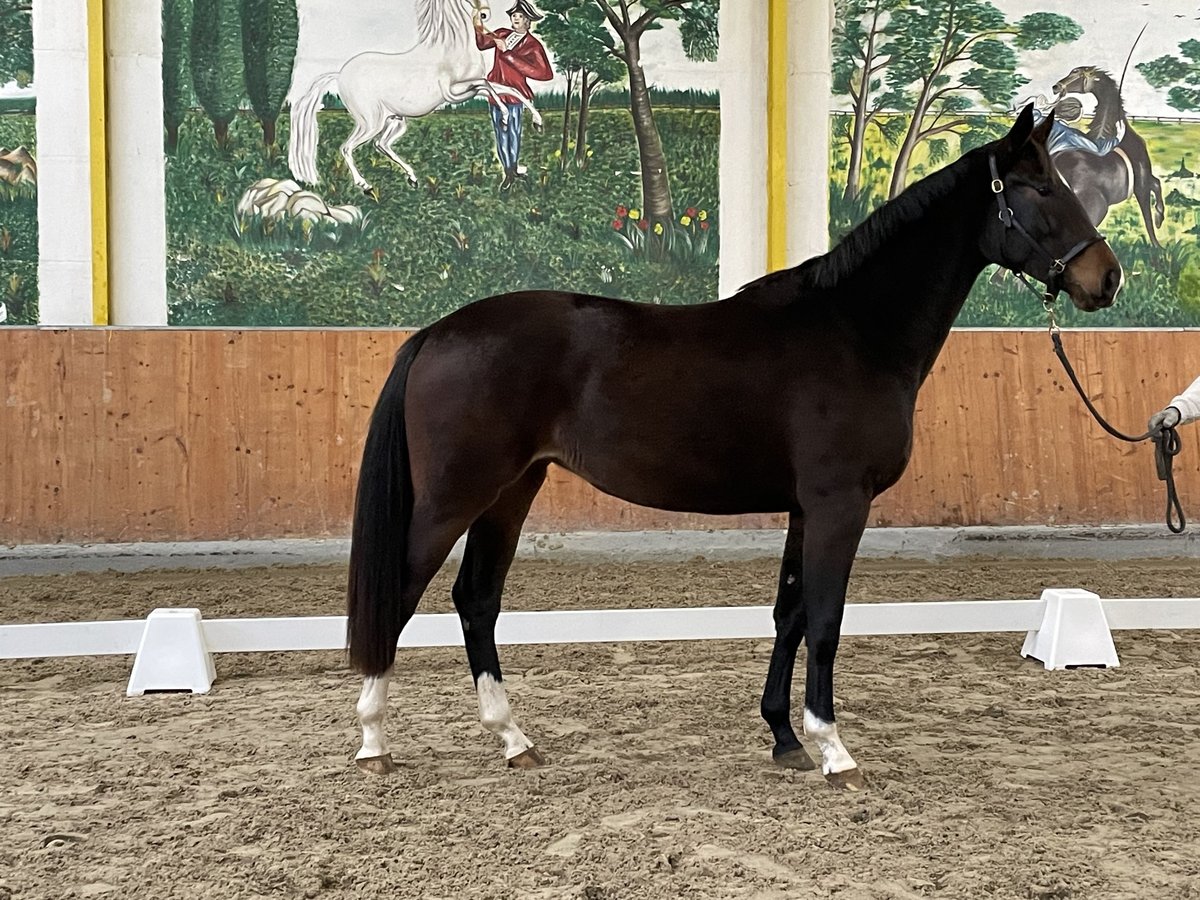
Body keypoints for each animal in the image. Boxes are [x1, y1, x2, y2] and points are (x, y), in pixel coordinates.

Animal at [288, 0, 542, 194]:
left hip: (395, 121)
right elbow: (489, 86)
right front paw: (506, 117)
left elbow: (508, 89)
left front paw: (537, 122)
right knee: (347, 148)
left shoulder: (469, 88)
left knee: (381, 145)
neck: (450, 48)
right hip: (370, 122)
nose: (484, 13)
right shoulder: (455, 92)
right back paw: (365, 185)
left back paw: (412, 178)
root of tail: (340, 74)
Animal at [343, 109, 1118, 792]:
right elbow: (827, 622)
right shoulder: (839, 505)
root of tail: (436, 332)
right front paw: (834, 750)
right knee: (400, 596)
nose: (1105, 278)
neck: (854, 330)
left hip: (510, 493)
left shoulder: (807, 509)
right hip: (455, 497)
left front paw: (784, 736)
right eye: (1039, 188)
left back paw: (513, 740)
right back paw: (373, 743)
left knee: (476, 598)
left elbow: (791, 614)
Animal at [1056, 63, 1166, 248]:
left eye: (1076, 73)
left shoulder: (1145, 180)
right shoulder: (1141, 184)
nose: (1056, 87)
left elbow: (1157, 184)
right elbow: (1147, 216)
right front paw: (1157, 244)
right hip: (1097, 210)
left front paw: (1159, 219)